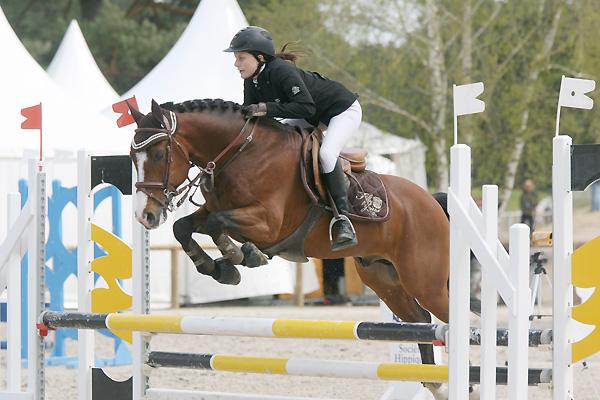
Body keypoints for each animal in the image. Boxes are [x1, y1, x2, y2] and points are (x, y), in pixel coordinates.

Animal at [130, 97, 450, 394]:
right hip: (384, 279)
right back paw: (435, 384)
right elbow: (183, 227)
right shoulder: (214, 210)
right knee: (421, 319)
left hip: (425, 282)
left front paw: (239, 257)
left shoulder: (267, 224)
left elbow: (215, 225)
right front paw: (218, 268)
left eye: (158, 154)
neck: (239, 153)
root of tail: (431, 201)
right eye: (132, 157)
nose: (145, 216)